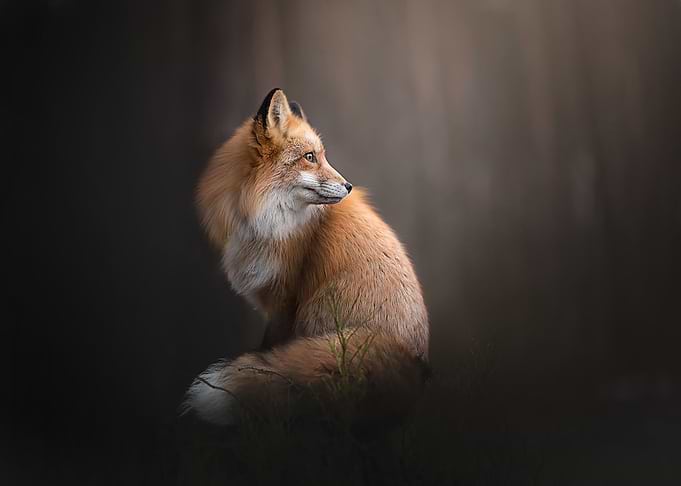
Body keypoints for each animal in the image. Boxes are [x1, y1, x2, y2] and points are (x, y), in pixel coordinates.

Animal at [184, 88, 429, 426]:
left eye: (321, 156)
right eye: (310, 157)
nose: (348, 186)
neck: (264, 220)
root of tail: (412, 359)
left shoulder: (286, 299)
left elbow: (270, 348)